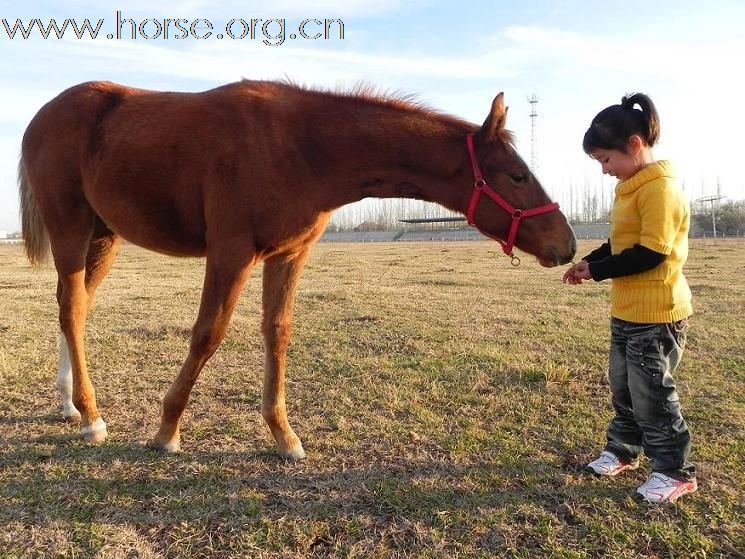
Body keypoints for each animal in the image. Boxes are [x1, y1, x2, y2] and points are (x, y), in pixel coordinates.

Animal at [17, 82, 576, 460]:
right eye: (517, 175)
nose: (566, 245)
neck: (300, 146)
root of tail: (44, 114)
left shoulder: (289, 255)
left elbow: (278, 333)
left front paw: (283, 435)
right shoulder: (231, 252)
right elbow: (208, 334)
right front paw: (167, 430)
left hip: (104, 236)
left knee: (75, 309)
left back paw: (70, 404)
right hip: (71, 228)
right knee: (71, 308)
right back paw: (91, 418)